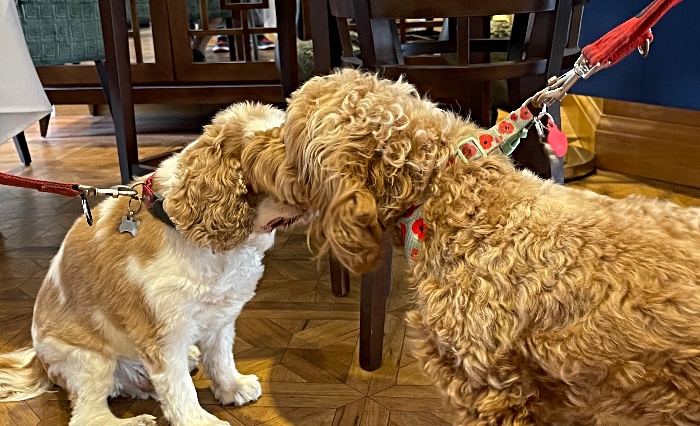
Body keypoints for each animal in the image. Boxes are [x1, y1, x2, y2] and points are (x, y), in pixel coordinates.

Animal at [0, 103, 300, 426]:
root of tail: (38, 361)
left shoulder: (220, 315)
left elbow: (220, 357)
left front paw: (233, 387)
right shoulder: (164, 334)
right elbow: (181, 390)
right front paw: (201, 421)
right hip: (88, 361)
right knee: (89, 415)